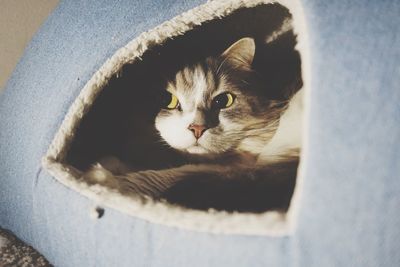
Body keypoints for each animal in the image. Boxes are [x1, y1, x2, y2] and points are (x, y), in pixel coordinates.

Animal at [84, 38, 304, 214]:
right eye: (167, 100)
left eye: (223, 101)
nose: (197, 128)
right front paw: (112, 165)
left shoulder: (240, 165)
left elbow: (169, 174)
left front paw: (103, 180)